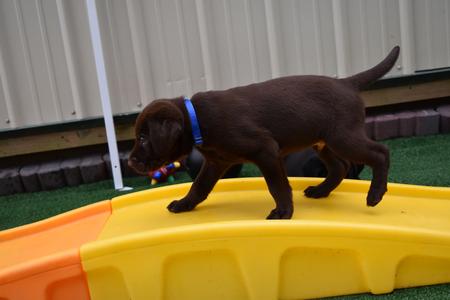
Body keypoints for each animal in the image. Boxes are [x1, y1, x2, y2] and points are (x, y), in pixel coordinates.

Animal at [128, 47, 400, 220]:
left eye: (142, 138)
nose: (129, 161)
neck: (197, 119)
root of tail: (347, 82)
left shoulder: (266, 150)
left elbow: (277, 186)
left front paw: (283, 212)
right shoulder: (217, 162)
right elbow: (199, 186)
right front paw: (184, 204)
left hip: (342, 137)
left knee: (381, 152)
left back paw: (375, 194)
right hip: (323, 142)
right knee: (340, 167)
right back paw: (320, 191)